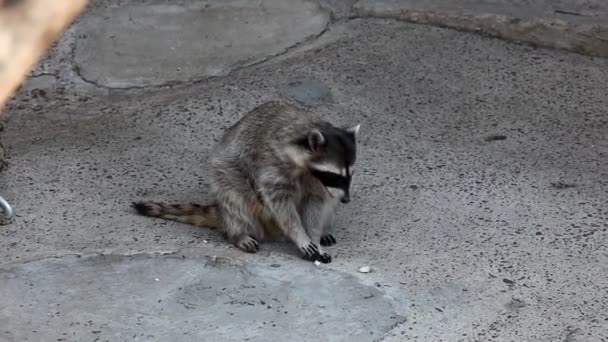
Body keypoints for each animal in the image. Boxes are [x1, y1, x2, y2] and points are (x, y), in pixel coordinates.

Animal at [133, 100, 358, 264]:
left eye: (350, 174)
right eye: (336, 175)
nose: (347, 200)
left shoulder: (317, 183)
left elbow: (316, 204)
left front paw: (314, 235)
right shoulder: (271, 164)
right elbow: (281, 206)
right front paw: (300, 234)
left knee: (329, 202)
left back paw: (325, 229)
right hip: (228, 178)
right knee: (234, 199)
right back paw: (239, 234)